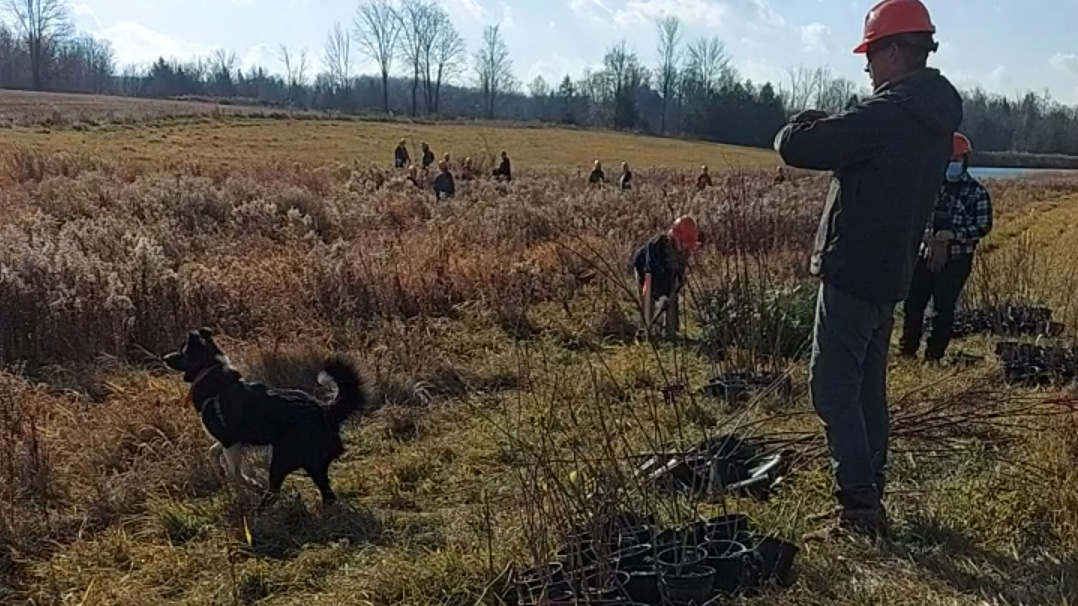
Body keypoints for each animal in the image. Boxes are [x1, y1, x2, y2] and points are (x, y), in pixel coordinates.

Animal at [162, 327, 370, 502]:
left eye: (181, 352)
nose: (164, 357)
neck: (210, 370)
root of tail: (327, 410)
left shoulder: (230, 441)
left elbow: (235, 473)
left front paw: (250, 486)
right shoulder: (232, 439)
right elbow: (213, 453)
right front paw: (220, 471)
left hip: (283, 458)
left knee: (278, 490)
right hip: (310, 461)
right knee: (326, 491)